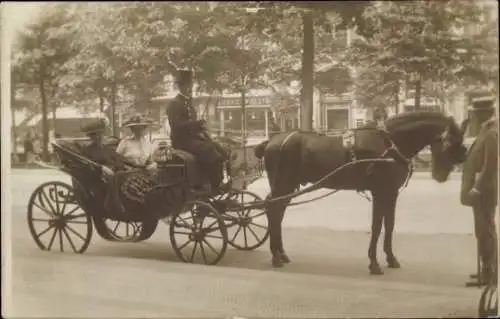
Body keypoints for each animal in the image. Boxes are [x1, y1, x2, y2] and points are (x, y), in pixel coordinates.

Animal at [254, 112, 468, 276]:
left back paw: (281, 253)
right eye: (450, 143)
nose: (440, 175)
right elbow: (377, 226)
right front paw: (374, 263)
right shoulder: (380, 192)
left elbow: (389, 225)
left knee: (277, 214)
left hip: (288, 187)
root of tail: (272, 140)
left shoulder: (391, 193)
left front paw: (391, 258)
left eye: (461, 145)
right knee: (273, 211)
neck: (390, 144)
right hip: (282, 185)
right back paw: (275, 256)